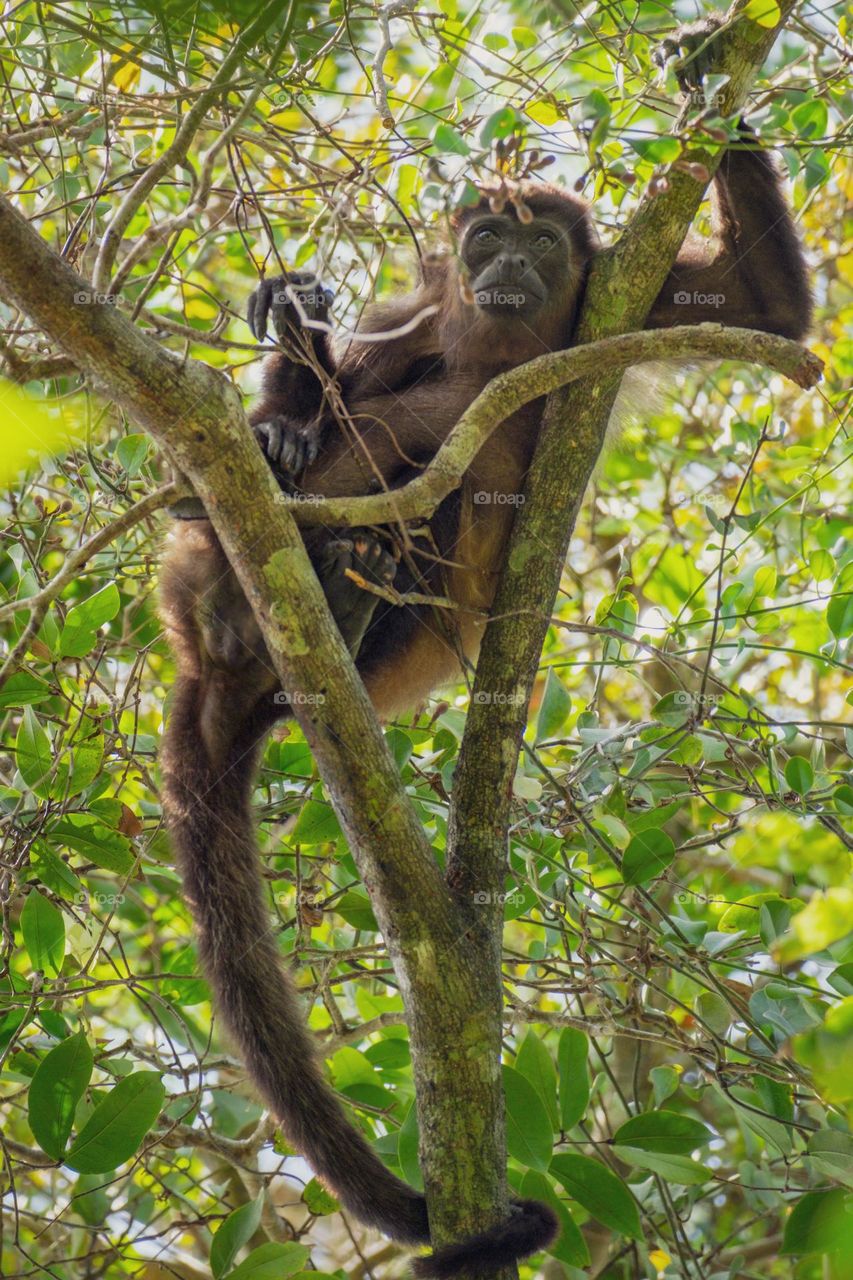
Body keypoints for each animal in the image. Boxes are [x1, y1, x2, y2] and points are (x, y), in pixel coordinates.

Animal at [159, 18, 811, 1276]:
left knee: (422, 485)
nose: (506, 259)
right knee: (361, 431)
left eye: (540, 238)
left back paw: (345, 595)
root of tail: (213, 666)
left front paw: (711, 75)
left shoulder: (629, 293)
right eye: (485, 235)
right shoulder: (411, 310)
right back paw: (278, 494)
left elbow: (766, 309)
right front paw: (291, 354)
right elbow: (355, 359)